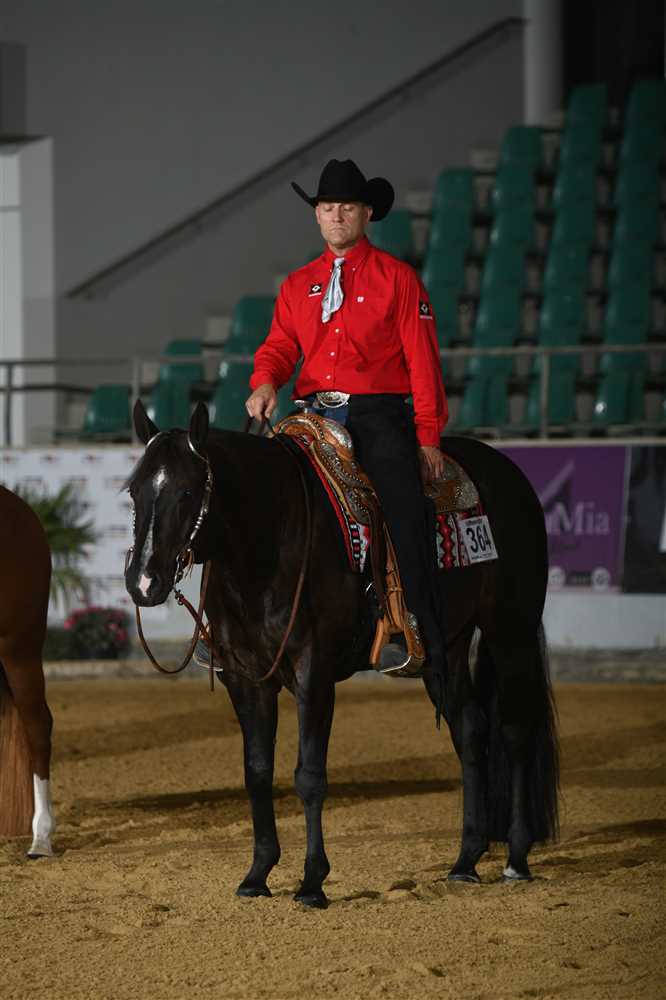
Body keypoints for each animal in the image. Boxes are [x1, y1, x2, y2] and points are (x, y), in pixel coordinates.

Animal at [125, 399, 558, 908]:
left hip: (510, 630)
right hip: (445, 649)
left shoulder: (314, 672)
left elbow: (309, 775)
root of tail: (507, 472)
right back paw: (466, 861)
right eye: (134, 491)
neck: (271, 538)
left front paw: (312, 882)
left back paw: (516, 857)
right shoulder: (245, 677)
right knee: (471, 730)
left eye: (188, 490)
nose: (143, 581)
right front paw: (258, 873)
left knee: (515, 731)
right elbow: (257, 771)